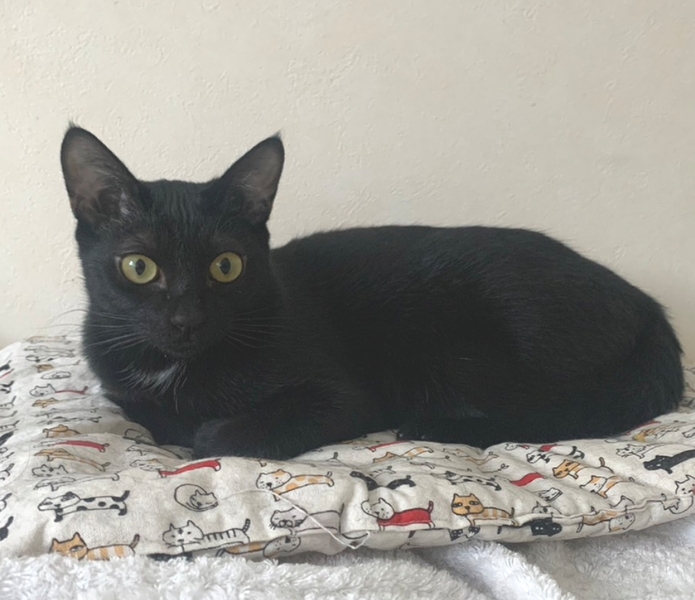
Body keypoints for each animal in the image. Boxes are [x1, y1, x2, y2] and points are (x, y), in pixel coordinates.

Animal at [62, 126, 684, 459]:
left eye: (226, 266)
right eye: (139, 266)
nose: (186, 319)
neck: (176, 367)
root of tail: (646, 306)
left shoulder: (347, 397)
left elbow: (217, 435)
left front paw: (206, 429)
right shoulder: (120, 385)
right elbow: (144, 412)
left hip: (463, 340)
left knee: (550, 414)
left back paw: (439, 427)